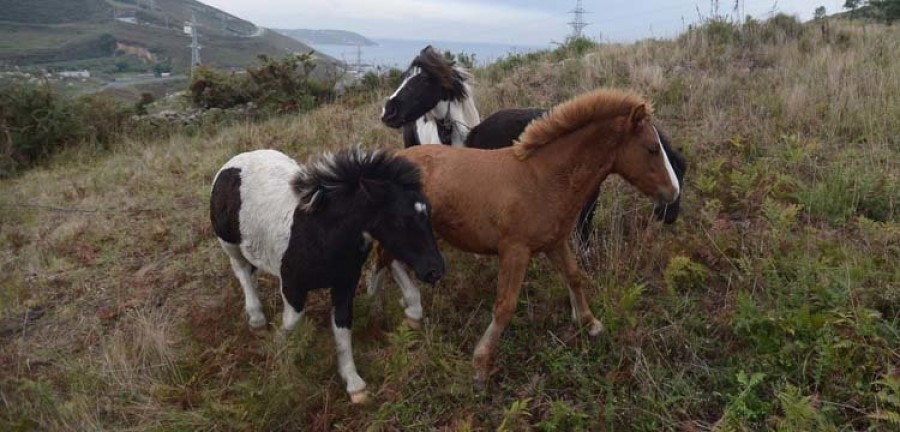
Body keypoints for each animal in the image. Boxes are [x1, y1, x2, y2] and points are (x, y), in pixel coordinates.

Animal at [212, 148, 450, 402]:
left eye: (429, 212)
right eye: (400, 219)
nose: (435, 269)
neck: (322, 232)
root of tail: (235, 161)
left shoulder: (345, 284)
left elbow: (342, 326)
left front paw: (354, 383)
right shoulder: (292, 286)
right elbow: (291, 322)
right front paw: (278, 350)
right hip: (229, 244)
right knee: (242, 271)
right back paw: (256, 319)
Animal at [376, 88, 680, 384]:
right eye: (652, 148)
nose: (673, 194)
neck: (541, 178)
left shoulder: (555, 242)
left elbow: (574, 277)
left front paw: (590, 323)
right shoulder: (515, 251)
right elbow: (505, 305)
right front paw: (481, 364)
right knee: (385, 260)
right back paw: (409, 309)